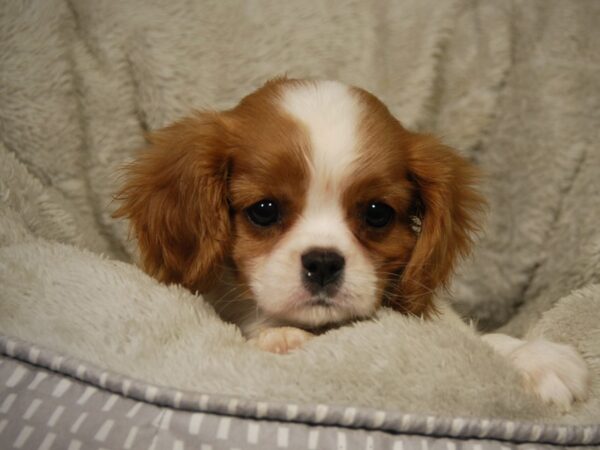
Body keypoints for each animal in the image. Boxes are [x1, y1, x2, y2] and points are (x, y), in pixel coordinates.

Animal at [115, 78, 588, 412]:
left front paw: (531, 356)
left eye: (377, 213)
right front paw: (280, 338)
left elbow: (468, 336)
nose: (324, 262)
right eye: (264, 210)